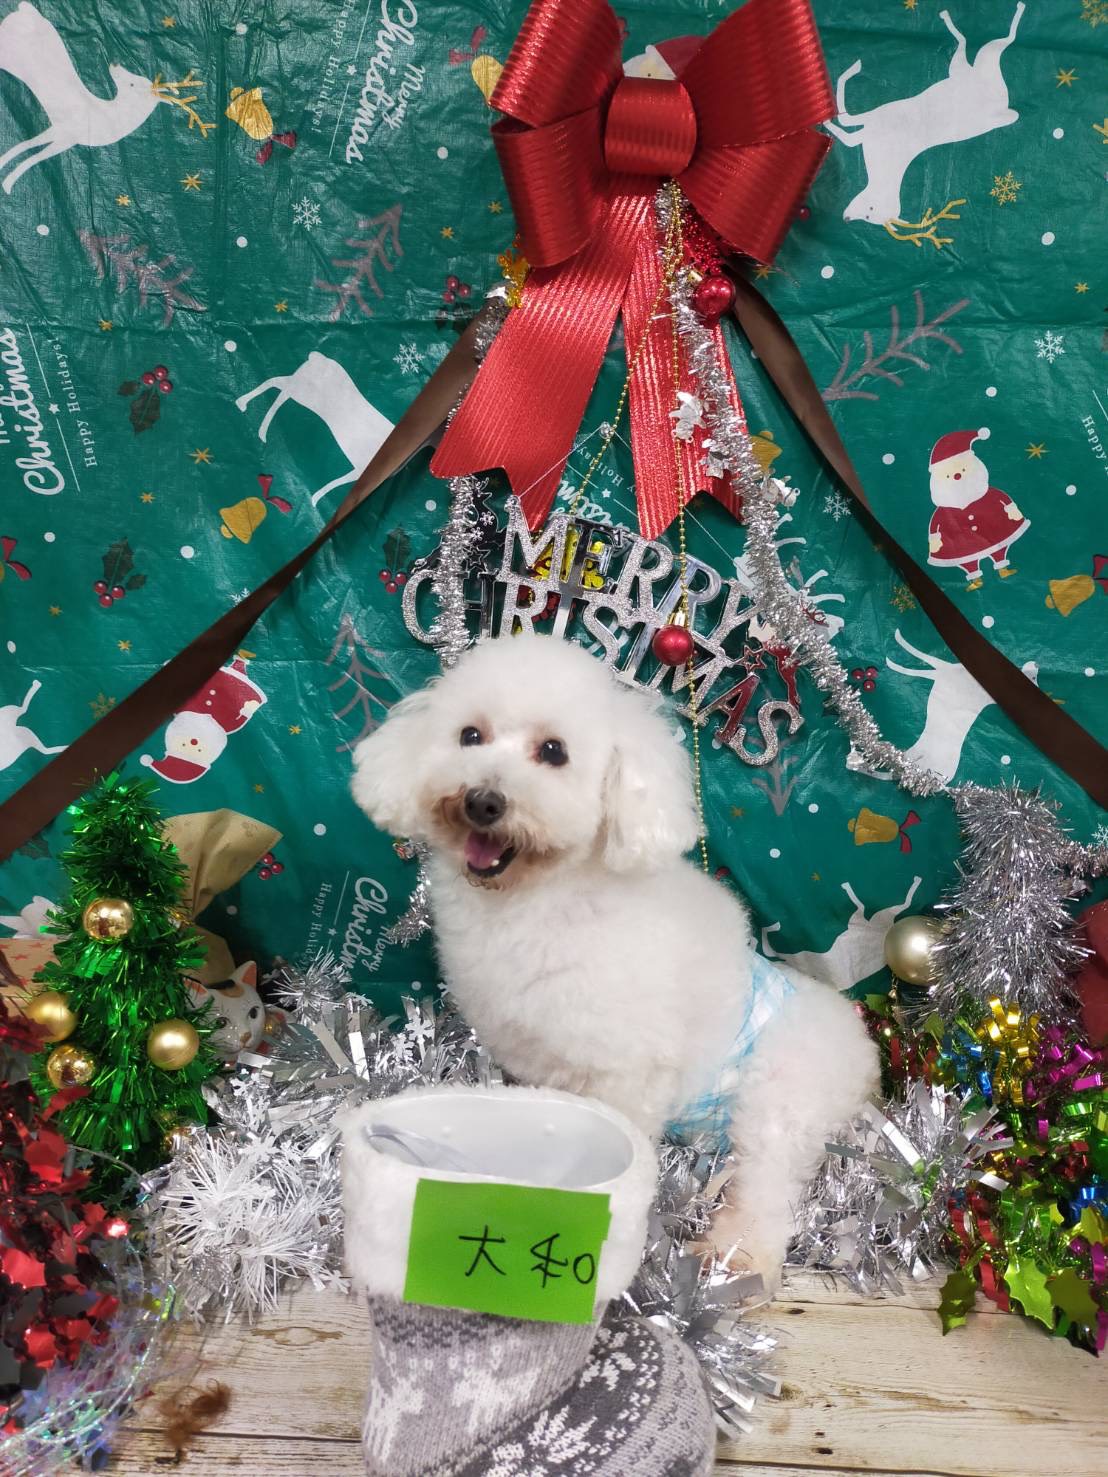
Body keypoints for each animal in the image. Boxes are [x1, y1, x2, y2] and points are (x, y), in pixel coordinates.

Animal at [352, 635, 878, 1289]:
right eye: (470, 736)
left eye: (554, 752)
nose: (483, 800)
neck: (536, 902)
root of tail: (864, 1055)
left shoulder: (625, 1075)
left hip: (779, 1095)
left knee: (767, 1183)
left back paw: (739, 1257)